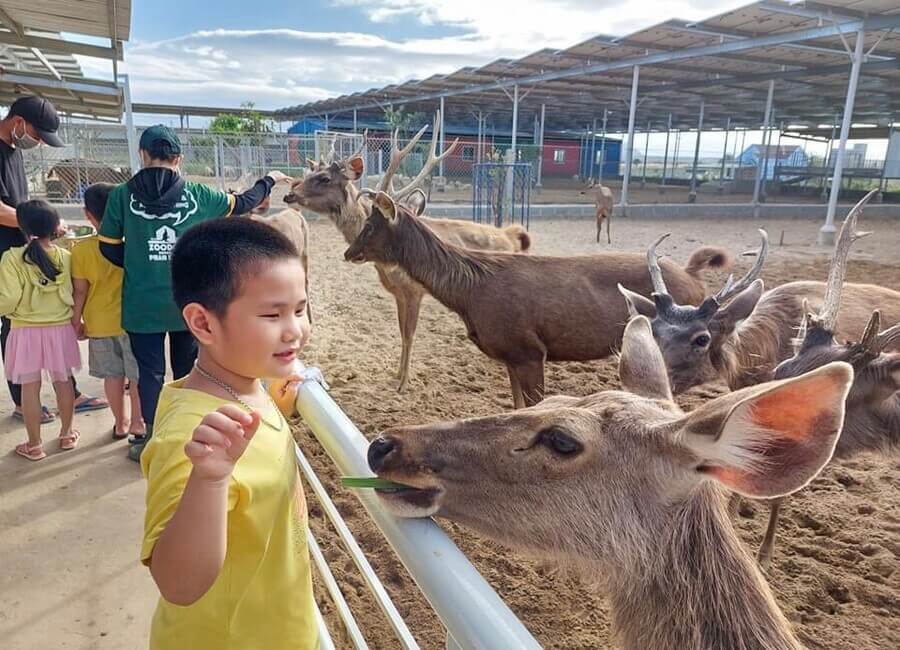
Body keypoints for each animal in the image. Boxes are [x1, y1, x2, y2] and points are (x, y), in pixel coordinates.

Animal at [284, 110, 532, 390]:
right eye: (309, 172)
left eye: (325, 178)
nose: (289, 195)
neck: (386, 264)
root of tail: (513, 236)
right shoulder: (398, 294)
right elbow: (401, 333)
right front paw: (397, 375)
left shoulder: (414, 291)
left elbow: (410, 334)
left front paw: (404, 382)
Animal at [342, 190, 732, 408]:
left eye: (371, 225)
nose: (348, 252)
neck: (470, 295)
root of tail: (696, 279)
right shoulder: (511, 355)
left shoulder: (530, 350)